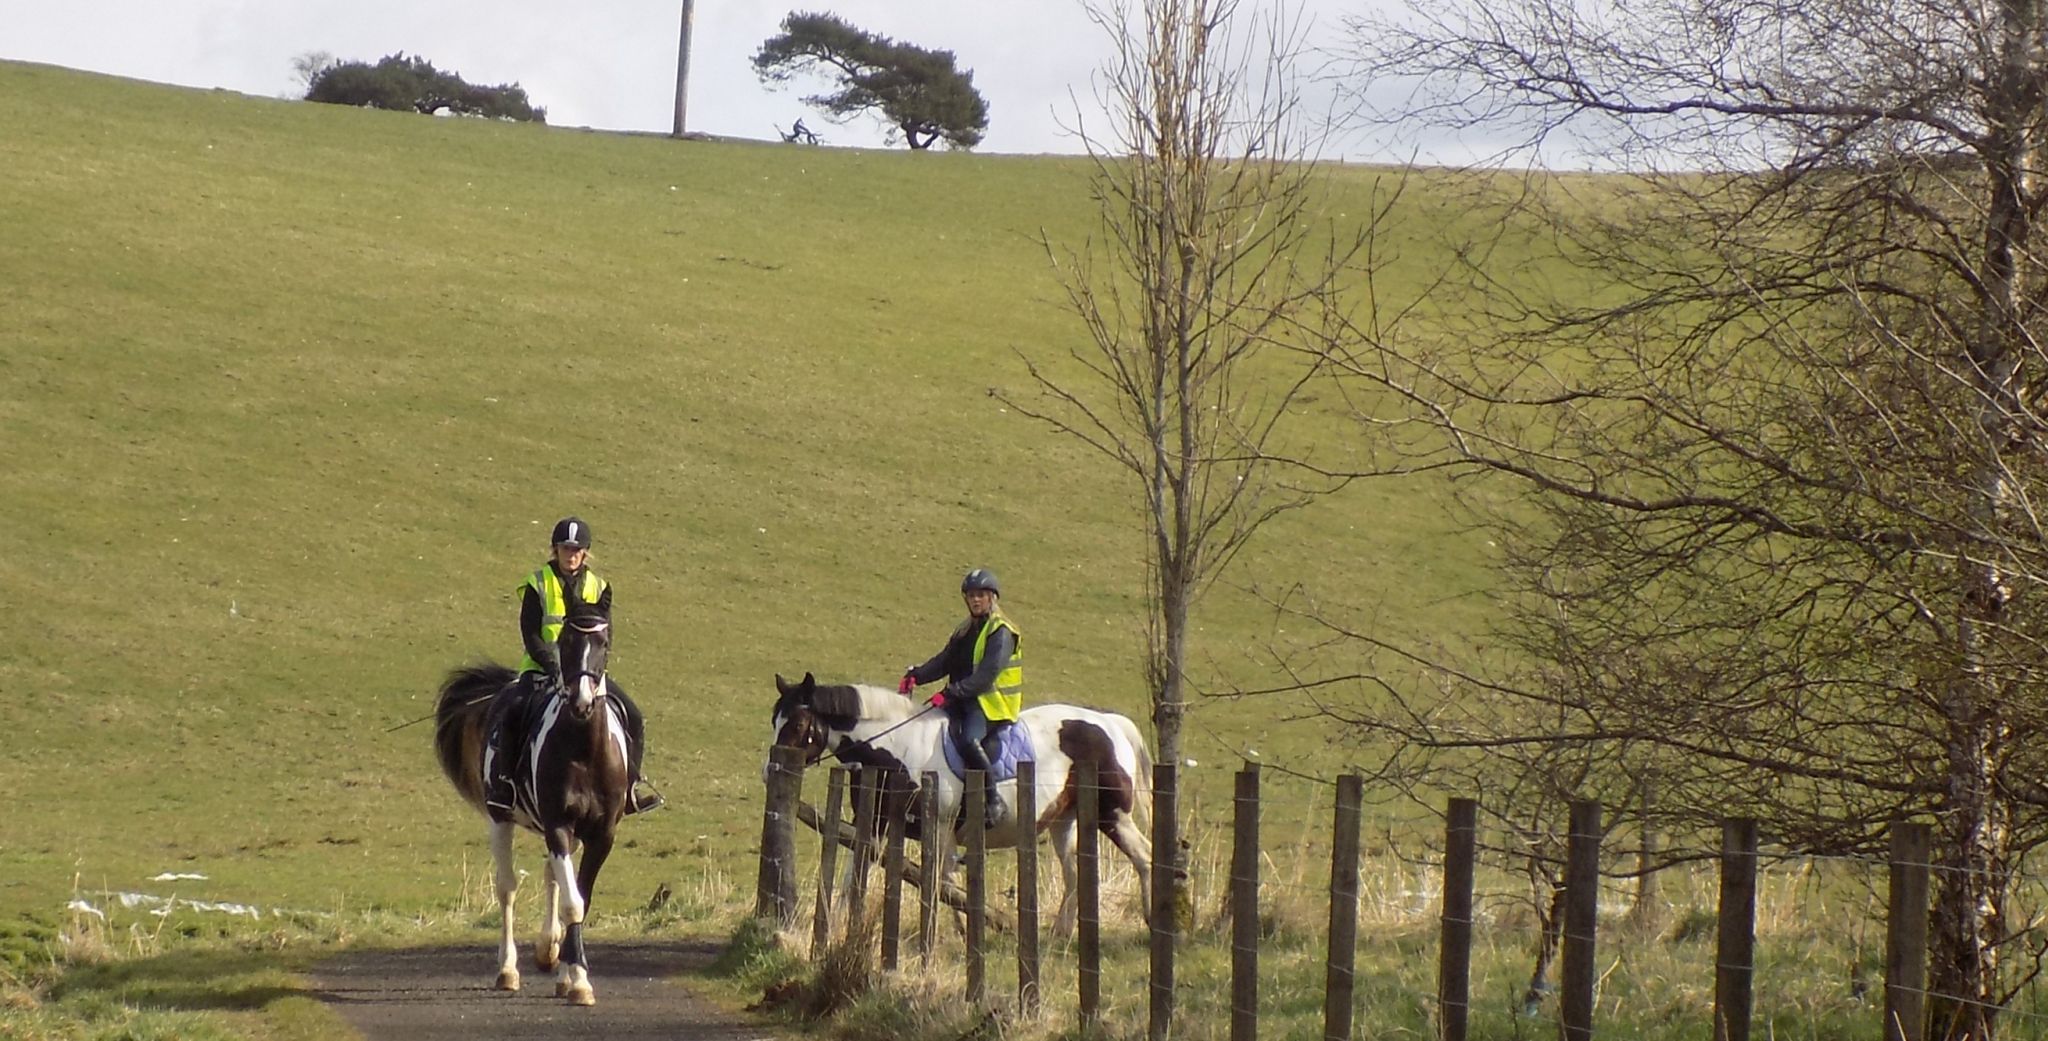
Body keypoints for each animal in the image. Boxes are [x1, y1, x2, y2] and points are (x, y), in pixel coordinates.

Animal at [432, 614, 622, 1004]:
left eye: (604, 643)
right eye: (566, 642)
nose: (582, 703)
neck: (584, 748)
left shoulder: (601, 835)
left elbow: (578, 899)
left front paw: (572, 974)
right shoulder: (558, 825)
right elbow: (572, 903)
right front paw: (580, 982)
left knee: (553, 879)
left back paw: (554, 961)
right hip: (501, 818)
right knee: (507, 888)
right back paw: (508, 970)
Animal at [770, 676, 1155, 934]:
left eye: (799, 723)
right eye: (775, 721)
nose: (771, 769)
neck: (899, 749)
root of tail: (1110, 723)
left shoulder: (939, 827)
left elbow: (940, 880)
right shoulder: (876, 823)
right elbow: (857, 872)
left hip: (1113, 815)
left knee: (1144, 858)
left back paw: (1152, 921)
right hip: (1065, 821)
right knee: (1075, 873)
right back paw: (1061, 933)